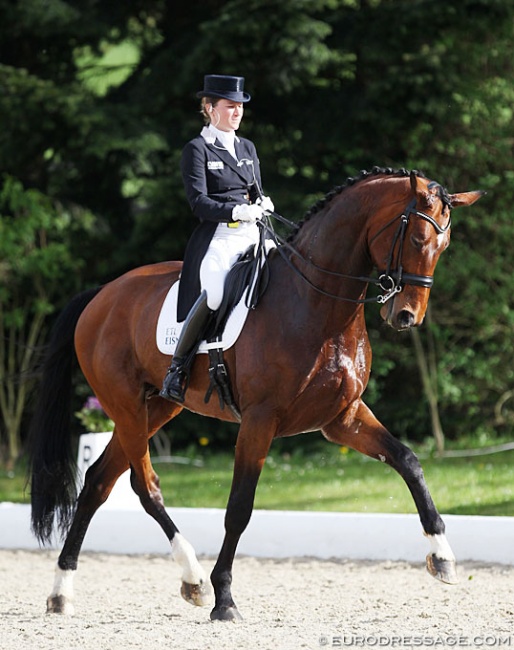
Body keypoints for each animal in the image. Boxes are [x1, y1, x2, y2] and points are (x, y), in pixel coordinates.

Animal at [30, 166, 482, 616]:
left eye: (444, 245)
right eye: (418, 238)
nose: (406, 316)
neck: (316, 304)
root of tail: (102, 295)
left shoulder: (343, 417)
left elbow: (408, 461)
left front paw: (442, 556)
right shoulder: (259, 421)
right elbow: (239, 508)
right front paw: (224, 597)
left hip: (156, 407)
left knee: (99, 481)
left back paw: (65, 591)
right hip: (124, 406)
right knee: (145, 485)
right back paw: (190, 579)